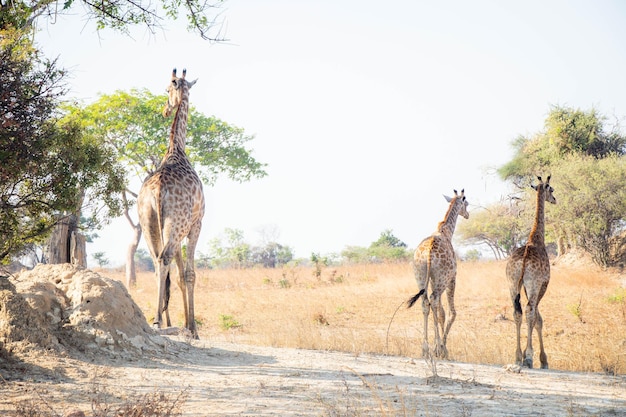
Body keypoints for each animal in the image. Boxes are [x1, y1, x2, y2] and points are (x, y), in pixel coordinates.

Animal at [408, 188, 466, 358]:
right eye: (466, 202)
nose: (467, 214)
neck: (446, 230)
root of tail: (427, 253)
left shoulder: (434, 280)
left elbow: (441, 312)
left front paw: (438, 347)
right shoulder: (452, 277)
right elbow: (450, 312)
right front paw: (443, 349)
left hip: (421, 276)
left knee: (425, 302)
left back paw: (425, 349)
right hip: (442, 280)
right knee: (433, 300)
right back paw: (436, 348)